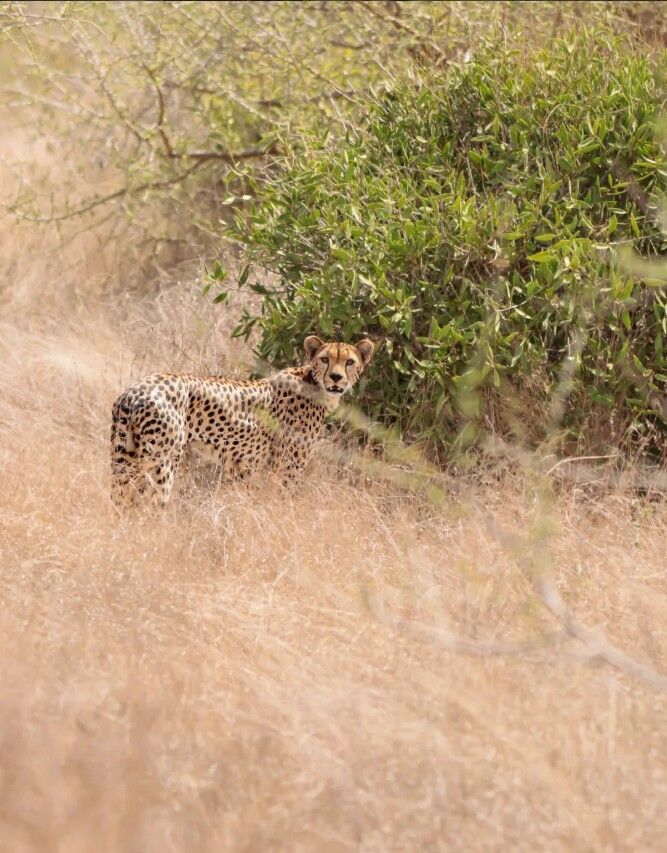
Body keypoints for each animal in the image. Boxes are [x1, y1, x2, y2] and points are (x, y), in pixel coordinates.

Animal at [110, 335, 375, 507]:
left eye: (350, 362)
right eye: (325, 359)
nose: (336, 377)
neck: (314, 383)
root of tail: (135, 391)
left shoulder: (239, 466)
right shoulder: (286, 468)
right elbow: (281, 502)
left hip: (123, 460)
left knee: (121, 503)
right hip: (162, 462)